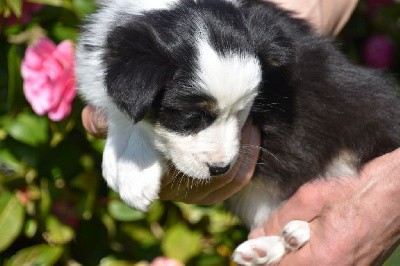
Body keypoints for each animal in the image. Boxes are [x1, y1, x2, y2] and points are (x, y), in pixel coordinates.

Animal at [76, 0, 400, 264]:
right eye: (192, 117)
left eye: (244, 109)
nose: (221, 169)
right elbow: (122, 109)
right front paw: (120, 161)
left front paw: (134, 175)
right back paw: (266, 247)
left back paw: (295, 233)